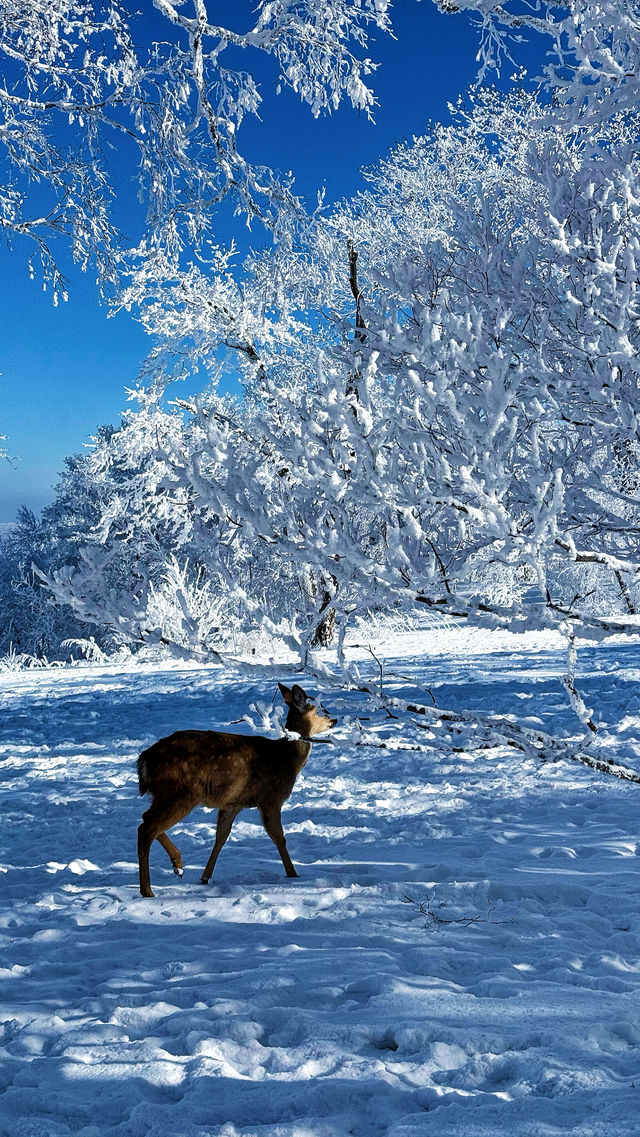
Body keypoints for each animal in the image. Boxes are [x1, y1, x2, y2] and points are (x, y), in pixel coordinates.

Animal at [134, 682, 336, 895]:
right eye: (319, 709)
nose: (334, 719)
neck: (287, 759)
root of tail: (144, 761)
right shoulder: (271, 797)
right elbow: (279, 837)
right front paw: (293, 875)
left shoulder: (233, 803)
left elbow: (221, 837)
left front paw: (205, 877)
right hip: (181, 793)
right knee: (147, 827)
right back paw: (149, 889)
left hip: (166, 794)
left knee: (146, 820)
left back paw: (176, 866)